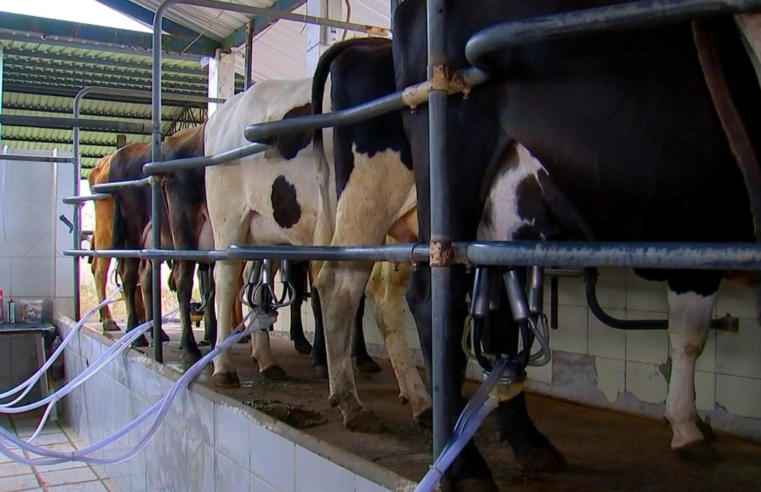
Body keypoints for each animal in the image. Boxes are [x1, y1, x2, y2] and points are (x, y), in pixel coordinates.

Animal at [388, 0, 760, 488]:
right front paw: (686, 428)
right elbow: (689, 337)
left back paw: (529, 443)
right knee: (436, 300)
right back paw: (466, 465)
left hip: (504, 216)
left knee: (500, 322)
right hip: (453, 177)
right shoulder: (701, 226)